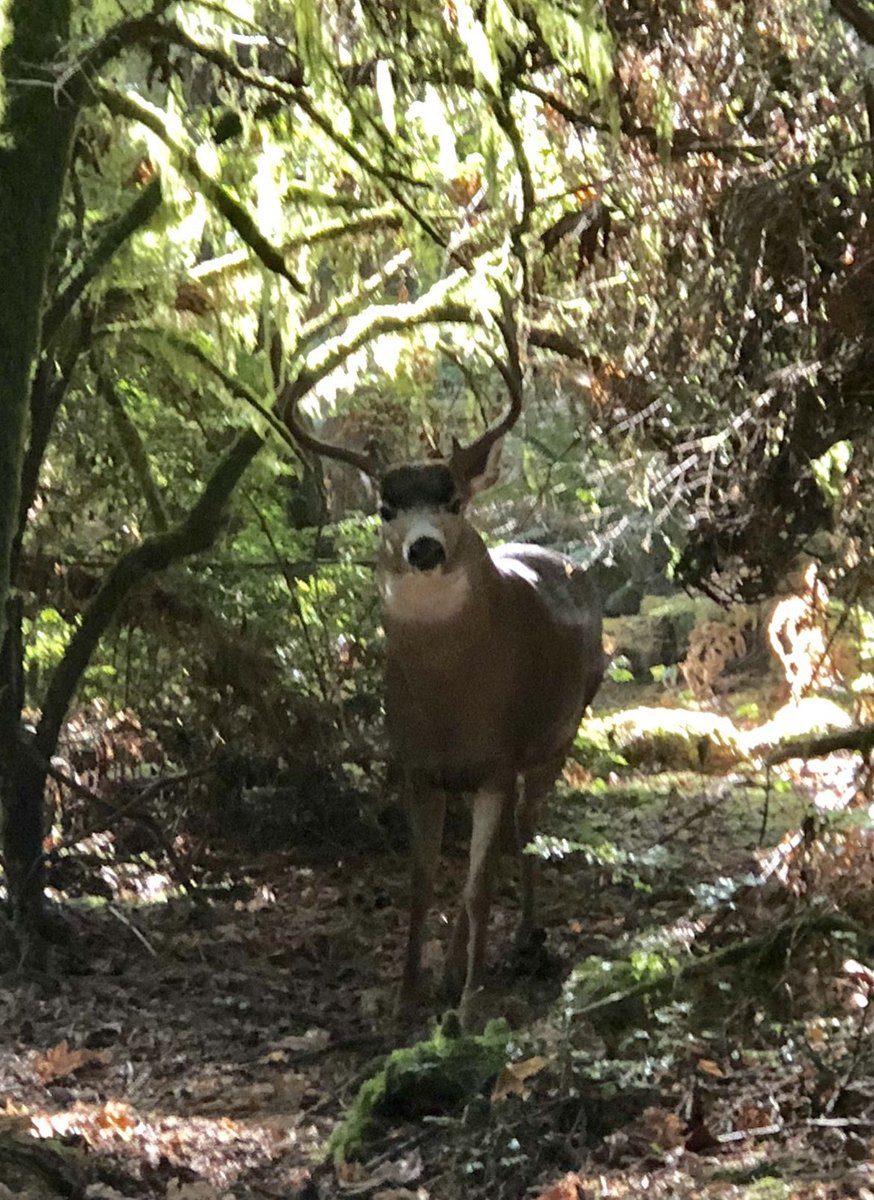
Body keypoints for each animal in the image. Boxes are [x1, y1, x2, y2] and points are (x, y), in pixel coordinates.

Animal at [283, 336, 605, 1022]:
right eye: (385, 508)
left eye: (453, 499)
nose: (425, 548)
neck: (452, 700)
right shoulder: (415, 765)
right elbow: (422, 883)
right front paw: (407, 999)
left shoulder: (500, 759)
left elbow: (478, 887)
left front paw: (468, 1008)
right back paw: (458, 964)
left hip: (559, 733)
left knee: (526, 832)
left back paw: (525, 939)